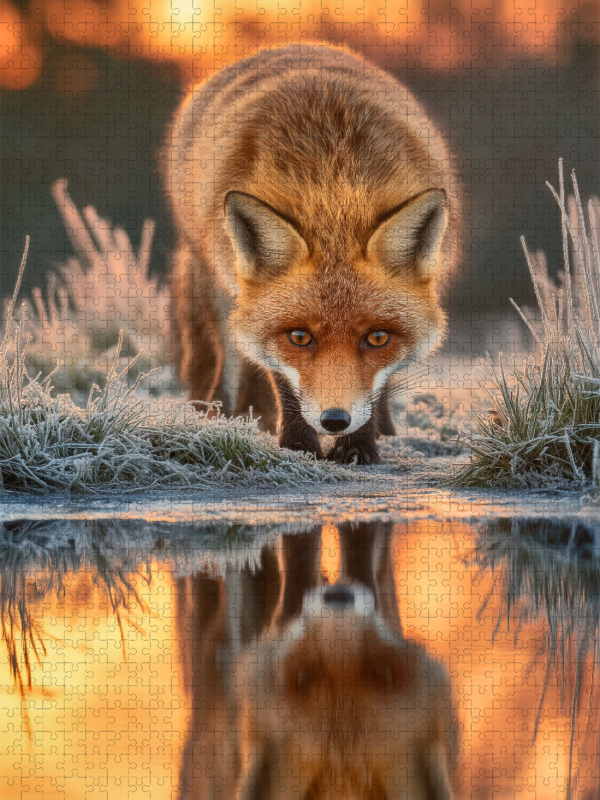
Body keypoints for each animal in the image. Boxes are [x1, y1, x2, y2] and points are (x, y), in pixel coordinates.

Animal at [165, 44, 459, 464]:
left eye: (377, 338)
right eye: (300, 337)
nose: (335, 420)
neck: (333, 191)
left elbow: (375, 387)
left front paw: (359, 447)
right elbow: (282, 380)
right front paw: (298, 445)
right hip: (215, 282)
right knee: (228, 358)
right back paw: (229, 416)